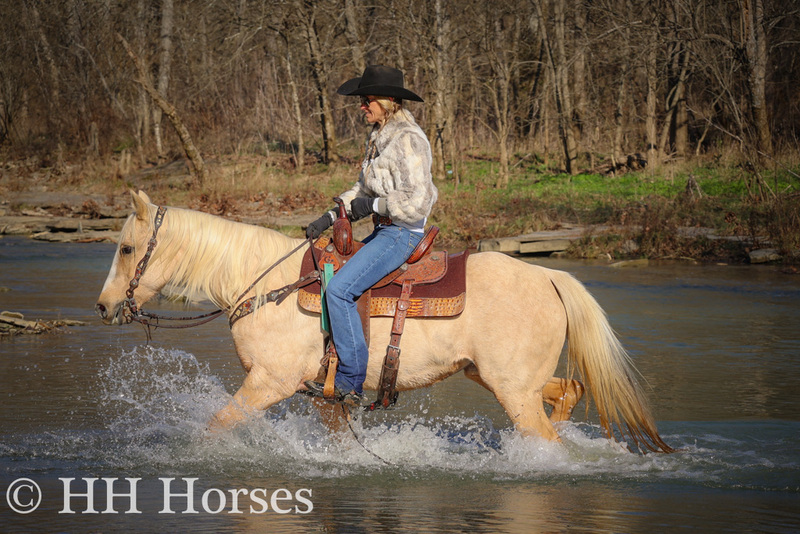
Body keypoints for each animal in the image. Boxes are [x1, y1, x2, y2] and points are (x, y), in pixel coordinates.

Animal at [95, 191, 676, 454]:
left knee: (547, 438)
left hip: (512, 389)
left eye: (126, 248)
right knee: (570, 391)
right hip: (498, 378)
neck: (267, 289)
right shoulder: (325, 396)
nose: (102, 306)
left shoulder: (269, 383)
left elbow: (216, 427)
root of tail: (550, 276)